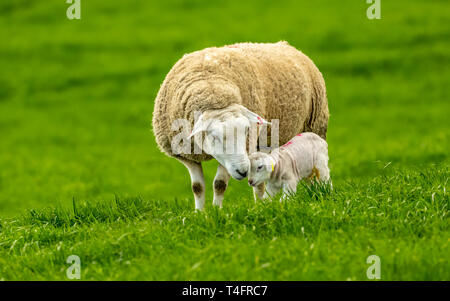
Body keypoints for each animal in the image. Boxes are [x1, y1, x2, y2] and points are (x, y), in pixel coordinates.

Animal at [153, 40, 328, 209]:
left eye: (246, 131)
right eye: (214, 137)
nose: (243, 171)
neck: (209, 83)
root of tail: (285, 44)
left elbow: (219, 184)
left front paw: (216, 211)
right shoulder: (187, 155)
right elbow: (197, 187)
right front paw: (200, 213)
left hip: (316, 126)